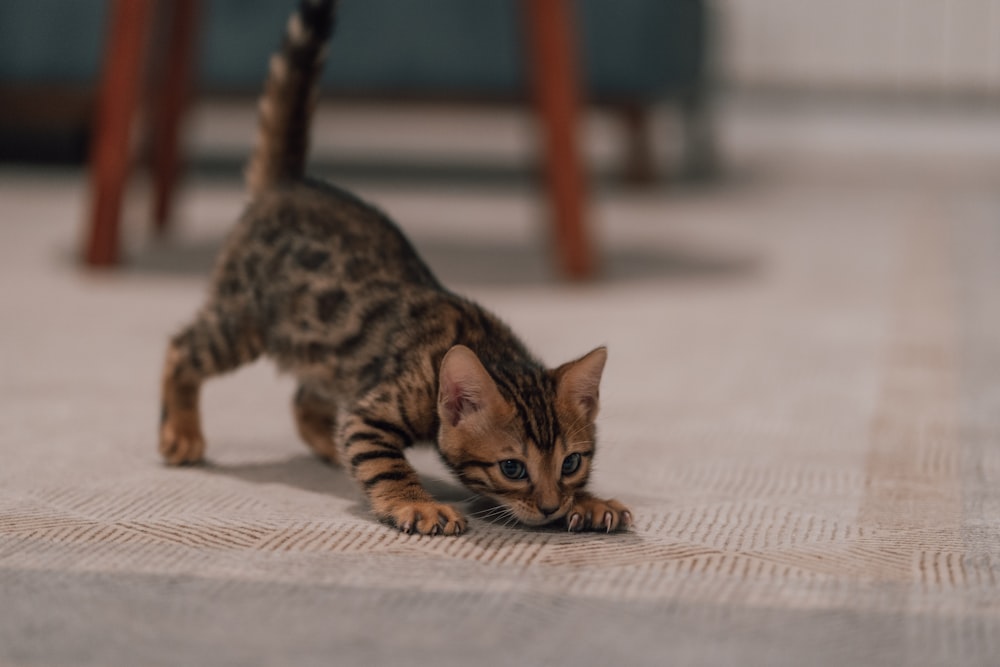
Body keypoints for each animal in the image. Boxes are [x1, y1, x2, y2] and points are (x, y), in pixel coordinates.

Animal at [158, 0, 632, 536]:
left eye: (571, 463)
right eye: (512, 468)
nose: (552, 507)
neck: (483, 348)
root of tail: (287, 185)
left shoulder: (364, 398)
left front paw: (588, 501)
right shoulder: (373, 414)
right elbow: (385, 463)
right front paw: (418, 503)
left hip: (324, 348)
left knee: (306, 399)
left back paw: (326, 445)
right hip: (244, 321)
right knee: (183, 348)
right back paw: (180, 430)